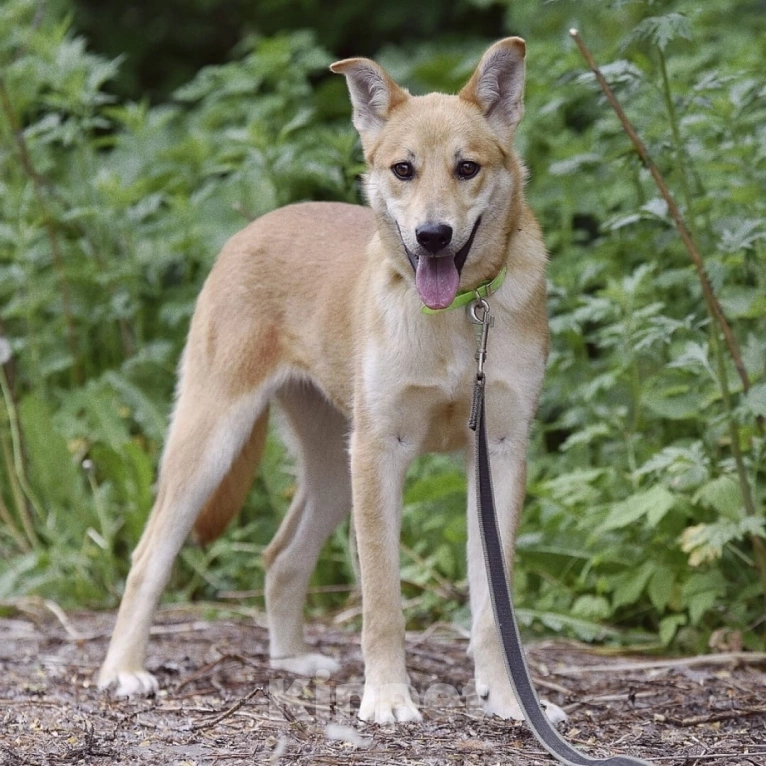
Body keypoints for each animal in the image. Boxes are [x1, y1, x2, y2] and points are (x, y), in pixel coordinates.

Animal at [100, 36, 560, 728]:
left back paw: (290, 660)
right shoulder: (380, 454)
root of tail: (253, 226)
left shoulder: (500, 454)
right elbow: (383, 603)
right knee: (148, 557)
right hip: (217, 441)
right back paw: (123, 670)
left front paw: (509, 701)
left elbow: (491, 607)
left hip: (333, 467)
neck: (457, 319)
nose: (432, 236)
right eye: (403, 169)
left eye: (467, 168)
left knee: (280, 557)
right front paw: (388, 699)